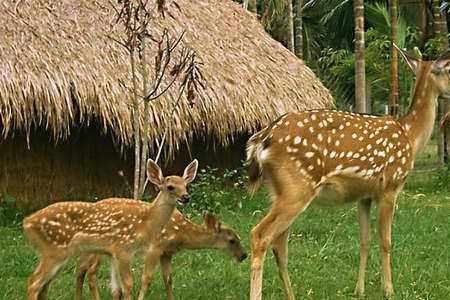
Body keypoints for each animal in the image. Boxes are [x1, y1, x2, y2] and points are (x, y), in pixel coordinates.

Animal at [22, 159, 198, 300]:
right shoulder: (122, 249)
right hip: (56, 250)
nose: (186, 197)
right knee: (34, 282)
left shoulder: (116, 253)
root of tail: (27, 222)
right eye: (170, 187)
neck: (145, 222)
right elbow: (128, 285)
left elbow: (117, 288)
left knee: (44, 285)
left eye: (185, 185)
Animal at [75, 209, 248, 300]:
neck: (182, 234)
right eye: (232, 240)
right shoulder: (155, 248)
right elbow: (147, 278)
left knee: (82, 266)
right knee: (90, 269)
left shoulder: (167, 253)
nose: (244, 255)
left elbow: (168, 279)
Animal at [246, 45, 450, 298]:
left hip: (279, 191)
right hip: (297, 187)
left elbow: (364, 239)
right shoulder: (390, 186)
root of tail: (262, 140)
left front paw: (359, 289)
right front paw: (389, 290)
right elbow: (386, 240)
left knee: (279, 243)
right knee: (260, 235)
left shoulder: (364, 195)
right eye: (448, 70)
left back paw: (291, 295)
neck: (410, 136)